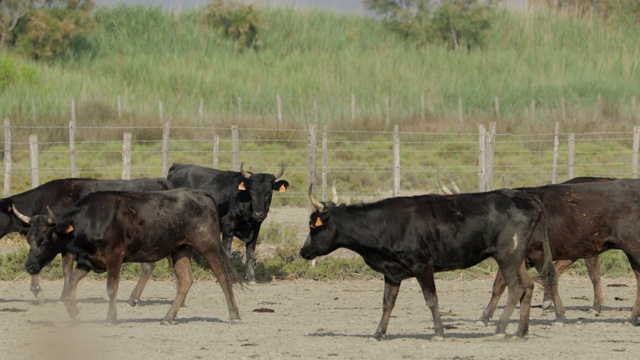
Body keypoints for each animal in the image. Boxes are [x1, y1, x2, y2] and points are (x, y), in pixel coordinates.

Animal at [0, 177, 172, 304]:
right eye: (29, 240)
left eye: (44, 240)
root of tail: (161, 182)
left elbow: (66, 269)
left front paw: (55, 295)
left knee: (148, 266)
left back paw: (133, 298)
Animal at [13, 188, 241, 324]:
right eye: (29, 239)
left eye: (44, 240)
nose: (29, 266)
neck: (88, 219)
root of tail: (200, 194)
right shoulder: (87, 260)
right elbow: (71, 283)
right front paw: (73, 311)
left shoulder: (114, 256)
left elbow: (111, 288)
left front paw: (111, 317)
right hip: (180, 248)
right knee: (185, 280)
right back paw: (168, 317)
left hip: (208, 245)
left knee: (222, 277)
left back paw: (234, 314)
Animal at [300, 187, 560, 338]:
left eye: (314, 226)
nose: (303, 251)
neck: (385, 224)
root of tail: (526, 197)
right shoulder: (391, 273)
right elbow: (387, 304)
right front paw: (378, 332)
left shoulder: (422, 266)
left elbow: (431, 299)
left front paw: (438, 332)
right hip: (519, 257)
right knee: (528, 286)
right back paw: (520, 331)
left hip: (507, 256)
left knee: (516, 288)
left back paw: (500, 328)